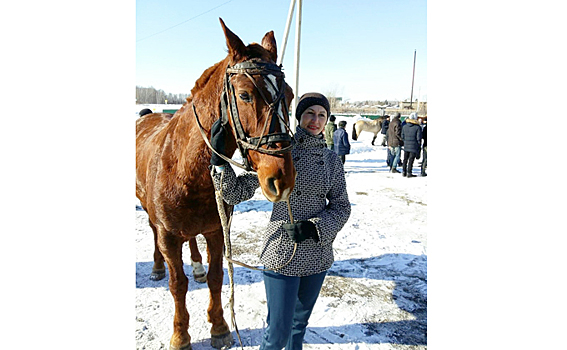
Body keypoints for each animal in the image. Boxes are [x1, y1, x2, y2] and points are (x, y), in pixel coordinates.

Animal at [137, 18, 298, 350]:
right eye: (245, 95)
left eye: (288, 95)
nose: (282, 178)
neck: (186, 172)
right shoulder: (168, 236)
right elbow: (177, 284)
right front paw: (181, 335)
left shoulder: (215, 231)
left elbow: (215, 277)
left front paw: (220, 326)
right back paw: (157, 267)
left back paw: (196, 265)